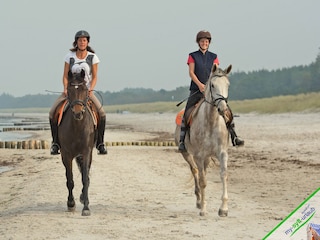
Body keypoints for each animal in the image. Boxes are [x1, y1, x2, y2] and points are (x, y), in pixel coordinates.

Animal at [58, 69, 96, 216]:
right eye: (69, 89)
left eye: (85, 89)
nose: (78, 113)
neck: (77, 126)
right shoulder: (66, 155)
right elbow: (70, 179)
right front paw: (71, 204)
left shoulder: (86, 152)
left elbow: (85, 178)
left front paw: (86, 207)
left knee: (87, 176)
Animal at [175, 64, 232, 217]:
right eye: (212, 85)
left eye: (228, 84)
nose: (223, 109)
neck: (211, 122)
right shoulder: (199, 156)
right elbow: (203, 182)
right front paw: (203, 209)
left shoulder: (222, 153)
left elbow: (224, 175)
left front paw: (223, 209)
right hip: (188, 155)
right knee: (196, 172)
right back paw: (199, 201)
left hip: (206, 158)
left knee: (202, 172)